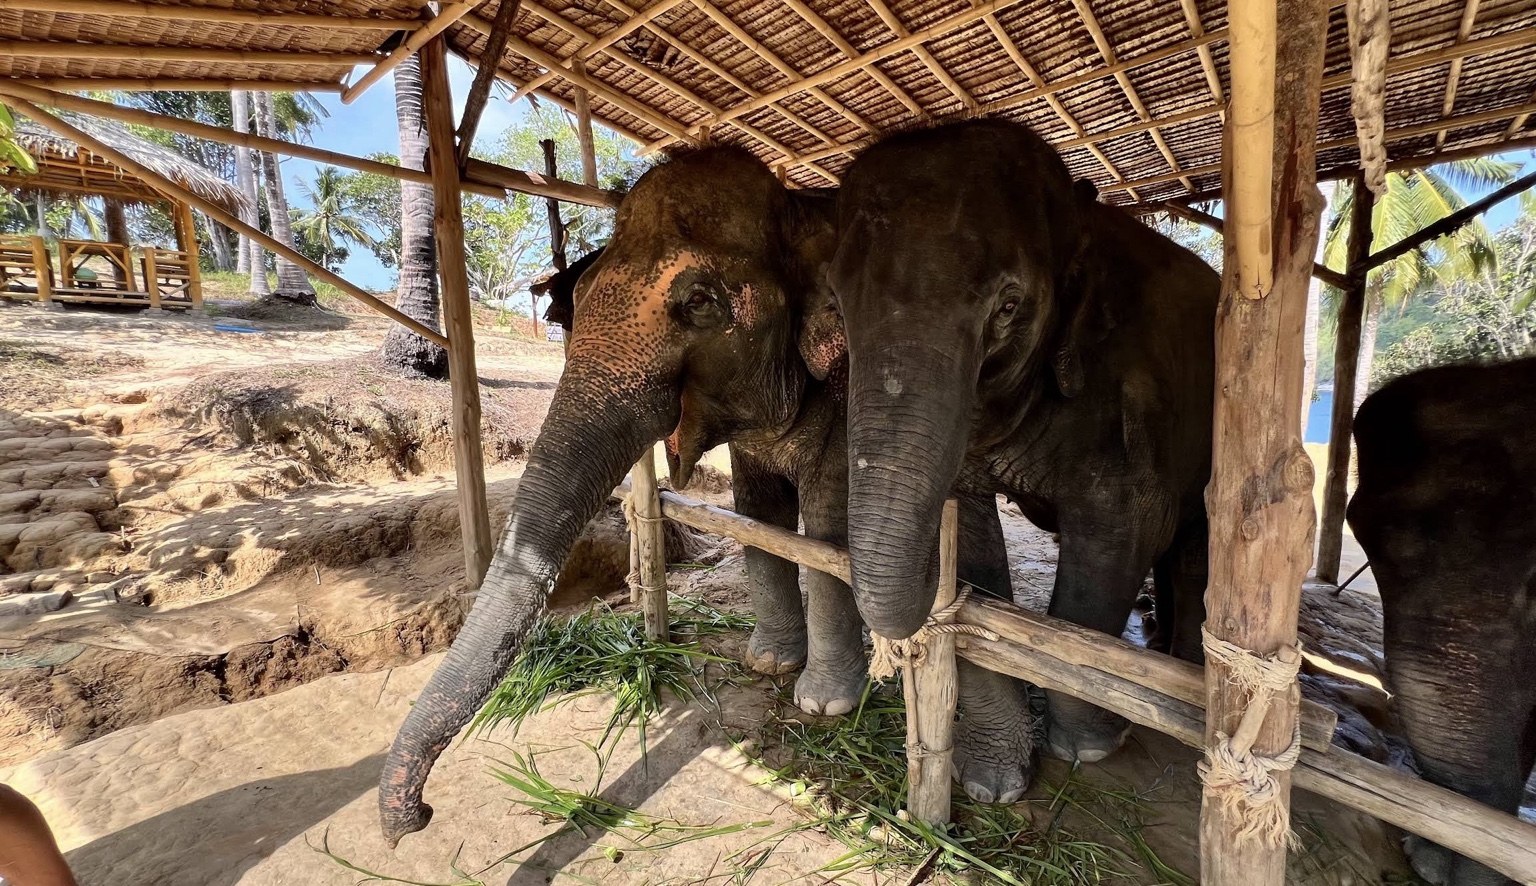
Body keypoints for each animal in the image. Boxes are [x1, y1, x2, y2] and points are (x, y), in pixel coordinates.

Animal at [377, 146, 1030, 846]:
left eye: (699, 303)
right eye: (577, 294)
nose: (416, 819)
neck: (801, 208)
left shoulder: (855, 386)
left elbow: (828, 526)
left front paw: (823, 701)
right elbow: (757, 512)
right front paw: (768, 662)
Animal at [829, 118, 1219, 768]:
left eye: (1008, 307)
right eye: (836, 306)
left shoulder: (1132, 396)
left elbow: (1119, 535)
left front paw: (1094, 746)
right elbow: (974, 542)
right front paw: (994, 774)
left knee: (1198, 546)